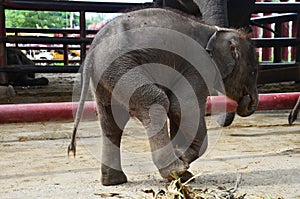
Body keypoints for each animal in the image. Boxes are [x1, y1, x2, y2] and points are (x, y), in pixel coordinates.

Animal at [67, 7, 258, 185]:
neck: (215, 31)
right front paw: (183, 159)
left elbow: (178, 109)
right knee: (155, 101)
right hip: (122, 68)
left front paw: (183, 162)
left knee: (112, 121)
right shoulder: (199, 67)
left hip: (107, 77)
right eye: (253, 72)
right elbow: (183, 106)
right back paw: (174, 170)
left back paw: (114, 181)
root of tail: (92, 51)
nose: (248, 102)